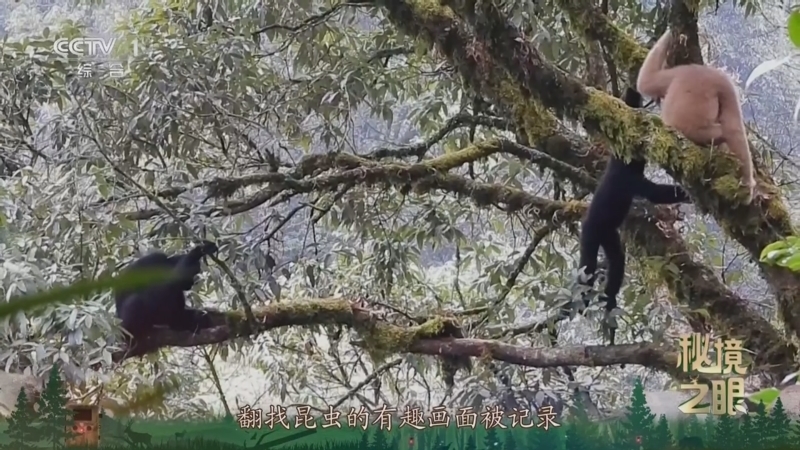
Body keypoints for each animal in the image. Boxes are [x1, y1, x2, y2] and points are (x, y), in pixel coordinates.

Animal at [637, 30, 755, 204]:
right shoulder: (723, 83)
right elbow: (734, 128)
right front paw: (747, 187)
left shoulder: (681, 72)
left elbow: (646, 81)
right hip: (699, 133)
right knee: (726, 133)